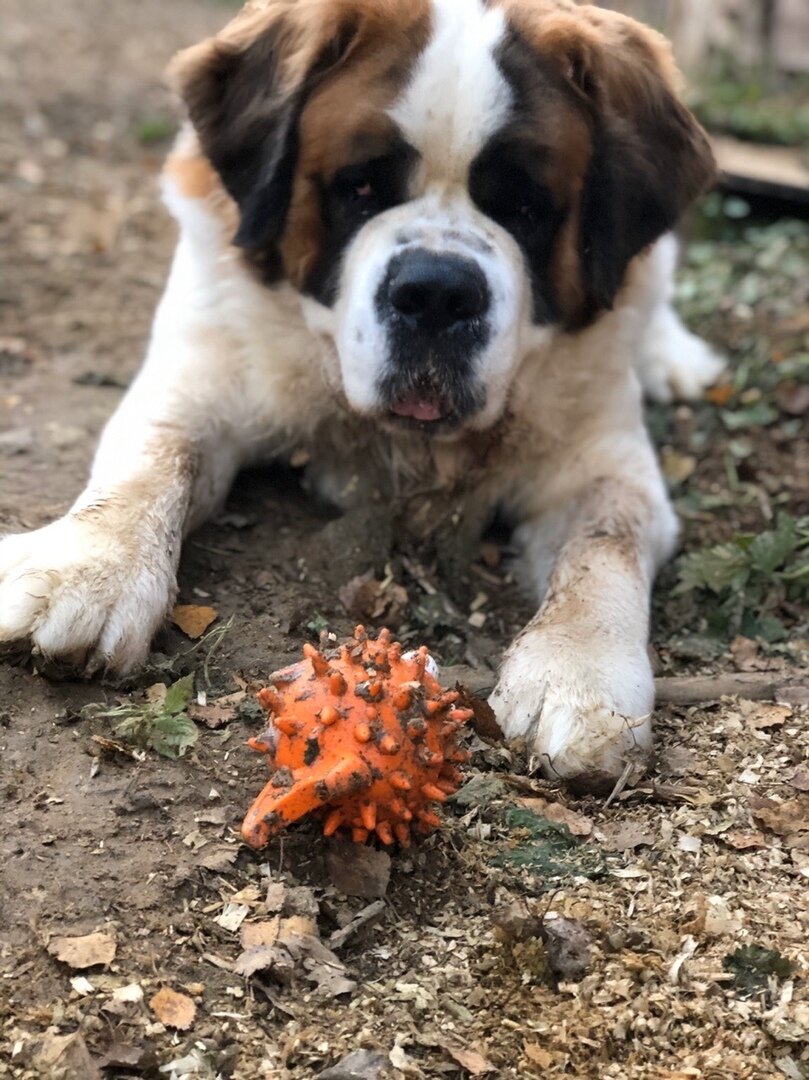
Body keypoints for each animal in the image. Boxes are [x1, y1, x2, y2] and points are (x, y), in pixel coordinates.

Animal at [0, 0, 724, 790]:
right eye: (361, 188)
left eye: (527, 207)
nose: (437, 293)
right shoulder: (202, 373)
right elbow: (155, 460)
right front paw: (87, 572)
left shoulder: (604, 460)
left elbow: (605, 542)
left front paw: (579, 678)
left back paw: (676, 357)